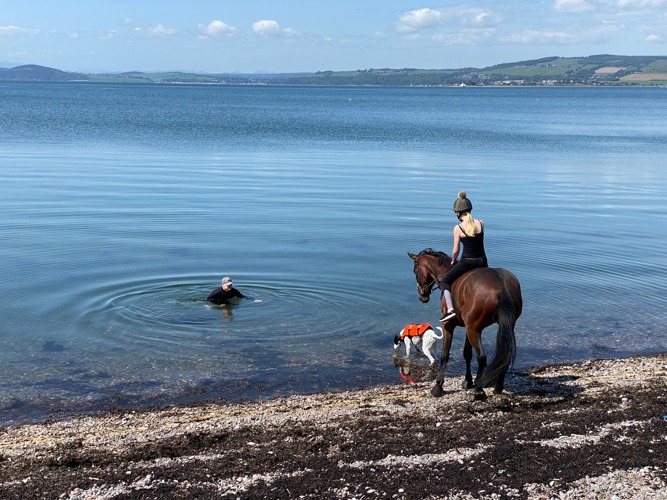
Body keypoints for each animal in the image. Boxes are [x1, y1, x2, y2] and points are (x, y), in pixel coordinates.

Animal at [407, 249, 522, 398]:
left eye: (415, 270)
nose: (422, 296)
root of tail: (502, 286)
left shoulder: (449, 325)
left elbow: (445, 354)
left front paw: (438, 386)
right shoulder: (468, 326)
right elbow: (467, 353)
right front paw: (468, 381)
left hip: (474, 330)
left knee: (482, 357)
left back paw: (479, 389)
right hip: (497, 326)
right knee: (504, 353)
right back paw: (497, 388)